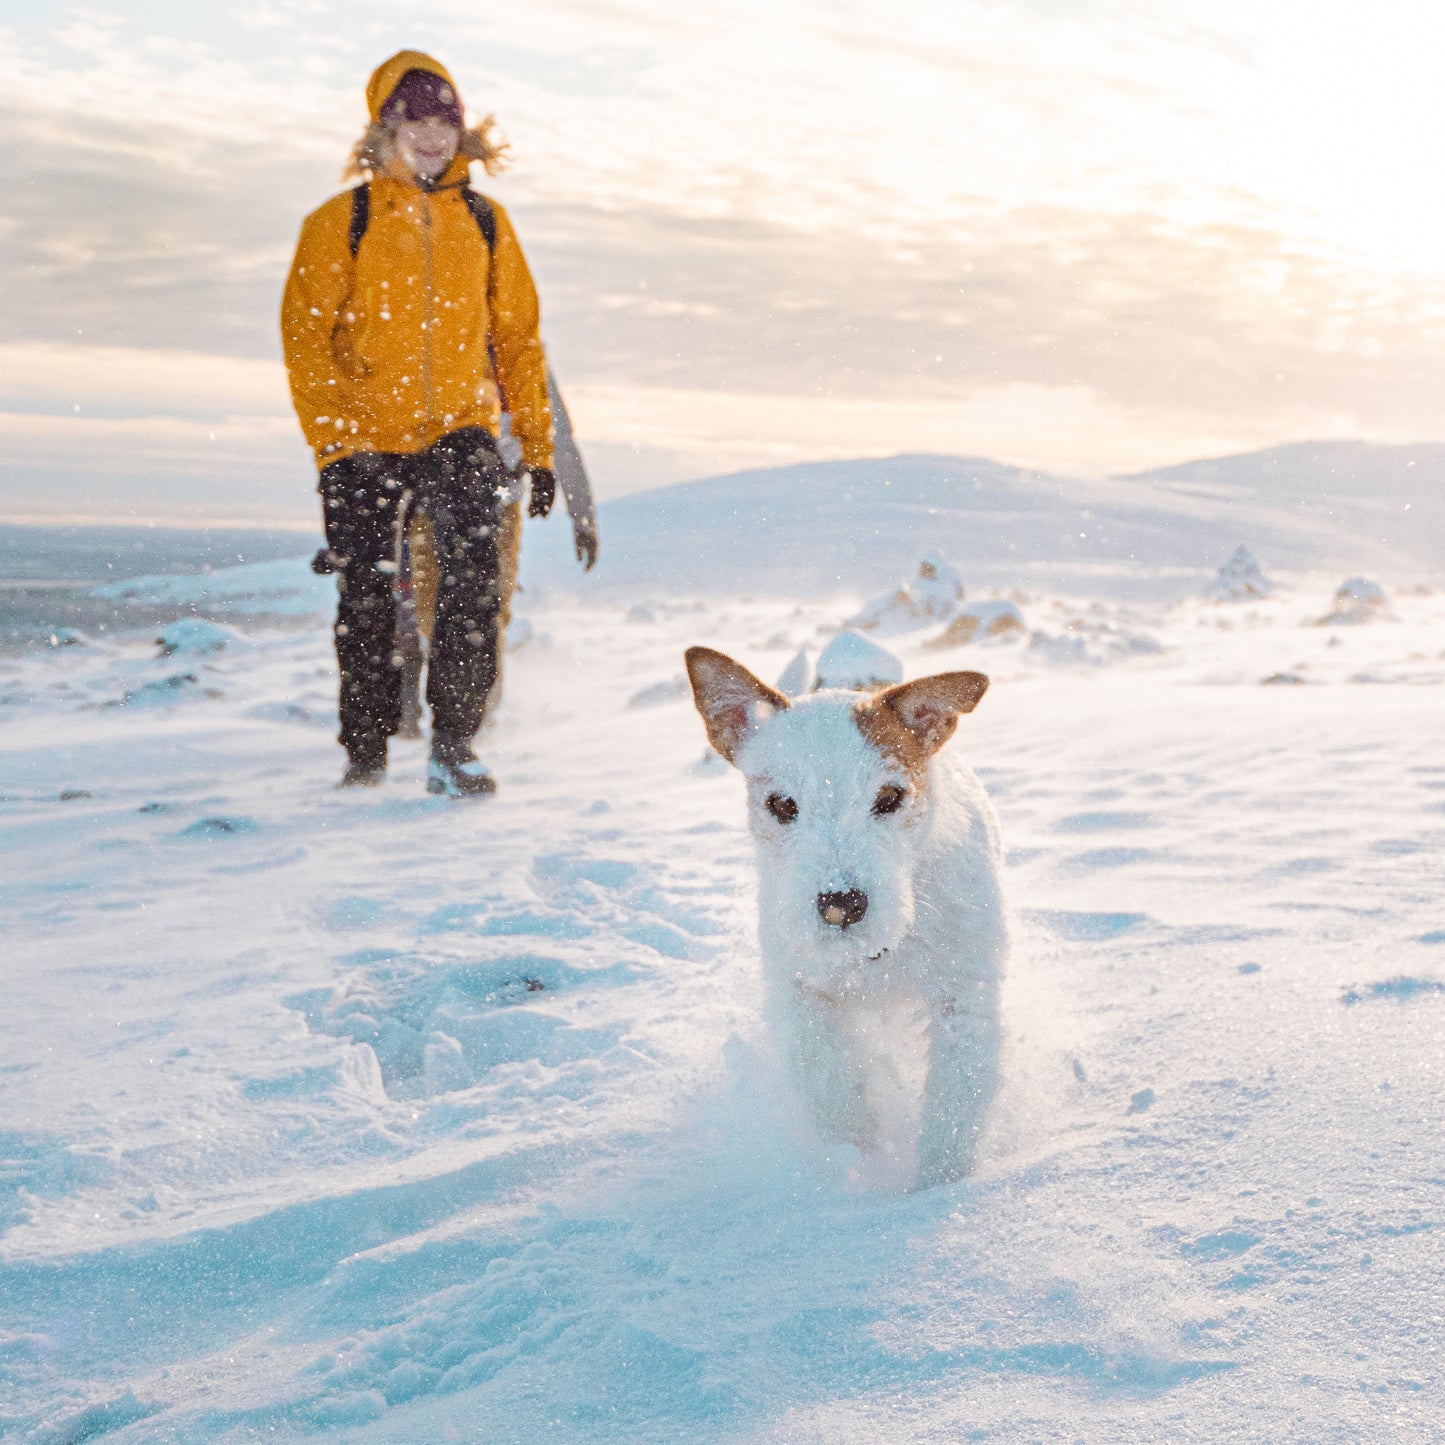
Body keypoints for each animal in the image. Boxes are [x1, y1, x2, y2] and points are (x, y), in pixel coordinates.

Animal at [684, 647, 1005, 1184]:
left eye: (890, 797)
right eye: (781, 804)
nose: (842, 904)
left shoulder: (964, 997)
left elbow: (954, 1103)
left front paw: (938, 1186)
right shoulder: (801, 995)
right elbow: (831, 1087)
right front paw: (853, 1167)